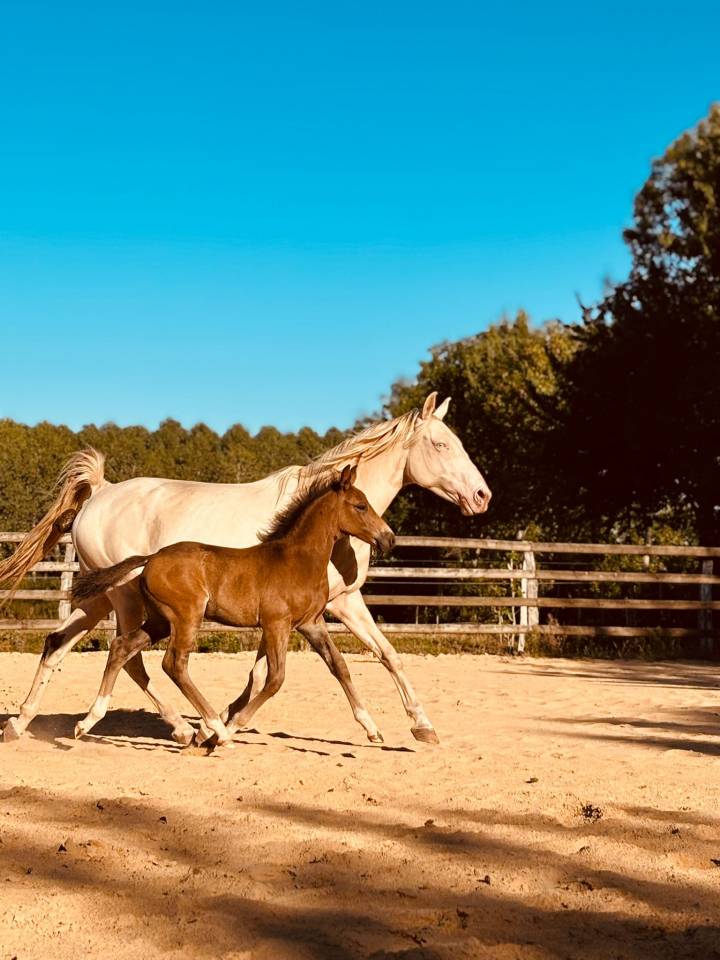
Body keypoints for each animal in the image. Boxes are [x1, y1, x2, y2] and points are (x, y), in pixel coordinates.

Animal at [72, 466, 394, 746]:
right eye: (360, 506)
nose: (388, 538)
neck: (297, 559)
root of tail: (151, 558)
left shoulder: (310, 624)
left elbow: (338, 666)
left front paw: (374, 730)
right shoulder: (277, 624)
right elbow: (275, 679)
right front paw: (230, 728)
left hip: (159, 621)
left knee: (122, 648)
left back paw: (88, 722)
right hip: (186, 617)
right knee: (174, 664)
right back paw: (215, 729)